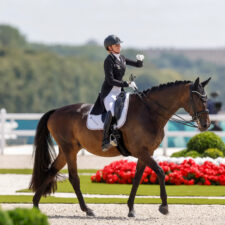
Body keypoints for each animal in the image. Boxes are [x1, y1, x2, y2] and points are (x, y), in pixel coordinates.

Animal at [29, 77, 211, 216]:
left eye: (206, 98)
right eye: (200, 99)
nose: (206, 125)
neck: (150, 112)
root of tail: (56, 111)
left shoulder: (146, 153)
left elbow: (137, 178)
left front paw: (131, 209)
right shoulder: (142, 152)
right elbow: (160, 171)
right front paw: (164, 207)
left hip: (66, 150)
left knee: (51, 170)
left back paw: (36, 205)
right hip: (69, 149)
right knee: (73, 177)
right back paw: (87, 209)